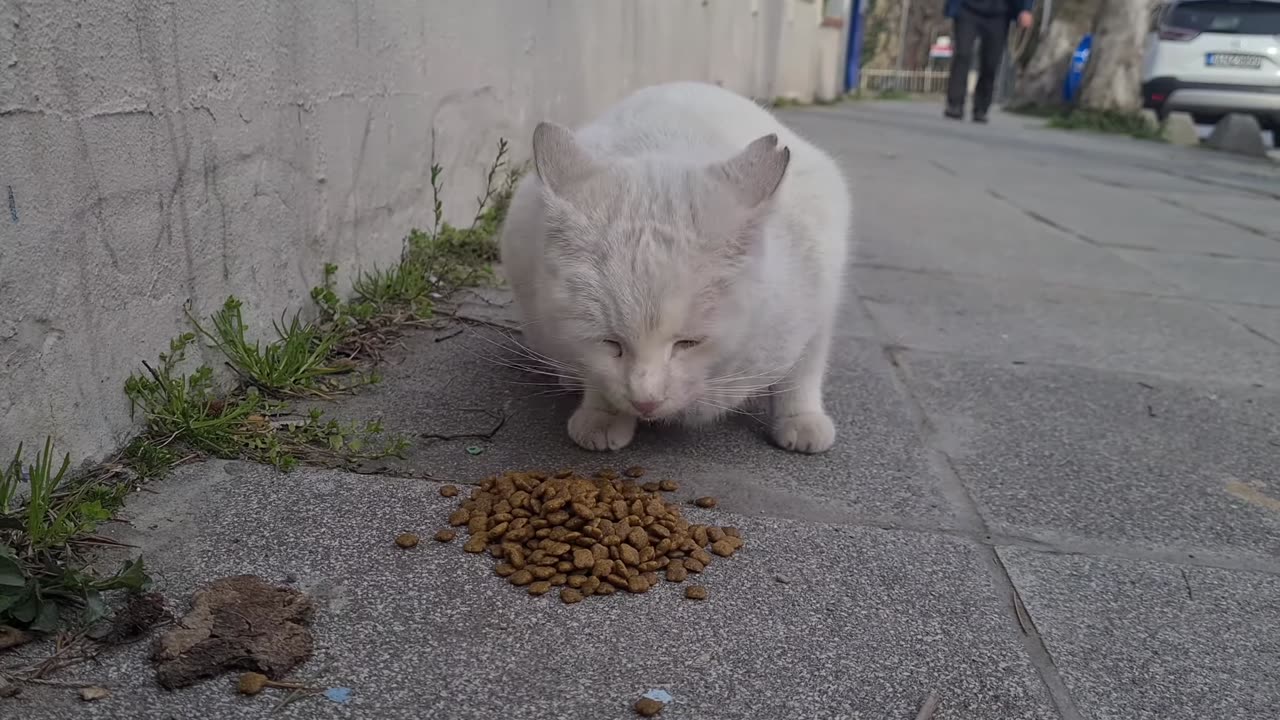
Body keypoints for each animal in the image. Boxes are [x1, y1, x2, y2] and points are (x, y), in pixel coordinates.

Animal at [496, 81, 849, 450]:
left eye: (689, 343)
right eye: (610, 343)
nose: (645, 401)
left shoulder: (819, 293)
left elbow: (804, 369)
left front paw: (801, 418)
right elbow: (595, 371)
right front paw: (603, 414)